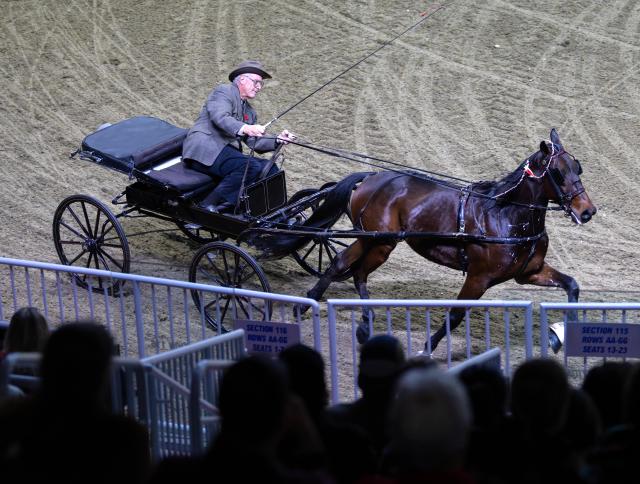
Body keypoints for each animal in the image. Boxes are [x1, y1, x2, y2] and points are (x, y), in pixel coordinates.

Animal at [255, 129, 596, 352]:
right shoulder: (478, 277)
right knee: (347, 267)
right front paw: (426, 349)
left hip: (377, 242)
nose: (588, 211)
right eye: (558, 173)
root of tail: (370, 177)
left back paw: (358, 321)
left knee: (351, 268)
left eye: (578, 167)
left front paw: (559, 336)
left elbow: (572, 286)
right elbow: (455, 315)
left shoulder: (530, 272)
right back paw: (310, 307)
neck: (506, 215)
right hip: (378, 241)